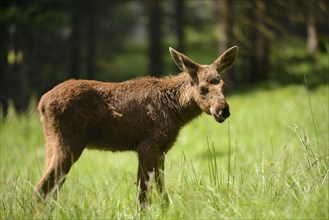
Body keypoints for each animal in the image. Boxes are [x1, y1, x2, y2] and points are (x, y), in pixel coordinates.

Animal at [34, 46, 237, 208]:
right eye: (202, 88)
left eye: (223, 86)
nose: (223, 111)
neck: (175, 110)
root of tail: (41, 103)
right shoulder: (148, 145)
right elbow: (143, 191)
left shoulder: (160, 150)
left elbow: (160, 188)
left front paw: (165, 210)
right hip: (69, 143)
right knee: (41, 189)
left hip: (51, 144)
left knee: (51, 190)